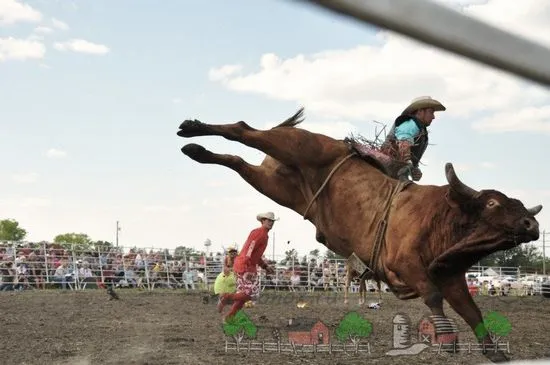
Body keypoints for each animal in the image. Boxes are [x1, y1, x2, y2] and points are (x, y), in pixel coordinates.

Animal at [177, 107, 544, 356]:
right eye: (493, 203)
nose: (532, 224)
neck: (442, 217)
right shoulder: (406, 264)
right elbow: (433, 297)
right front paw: (447, 339)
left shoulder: (452, 277)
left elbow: (472, 311)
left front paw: (493, 351)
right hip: (296, 145)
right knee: (244, 130)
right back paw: (191, 129)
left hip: (276, 185)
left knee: (240, 160)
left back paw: (197, 151)